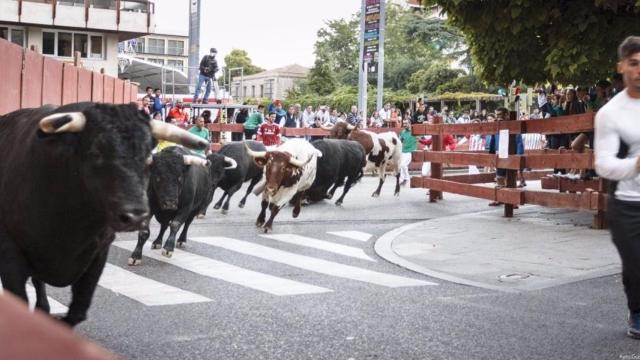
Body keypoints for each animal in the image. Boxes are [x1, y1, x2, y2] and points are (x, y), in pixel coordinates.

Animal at [0, 102, 208, 326]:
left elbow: (76, 313)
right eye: (95, 153)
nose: (135, 217)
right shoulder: (11, 257)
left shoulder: (98, 255)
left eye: (147, 158)